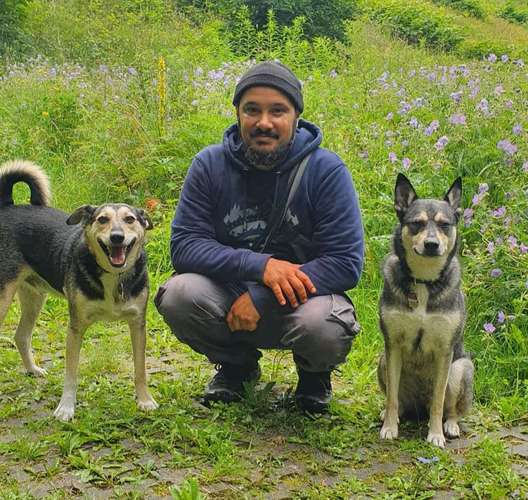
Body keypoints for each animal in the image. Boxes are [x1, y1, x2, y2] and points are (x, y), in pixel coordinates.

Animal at [0, 159, 159, 418]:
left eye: (130, 219)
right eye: (102, 219)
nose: (117, 237)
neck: (112, 276)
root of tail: (8, 205)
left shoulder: (137, 325)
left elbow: (140, 369)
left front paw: (144, 400)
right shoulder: (76, 328)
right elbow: (71, 374)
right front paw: (66, 408)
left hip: (34, 297)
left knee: (21, 335)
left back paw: (33, 369)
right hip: (4, 297)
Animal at [380, 174, 474, 448]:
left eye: (444, 225)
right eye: (416, 223)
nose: (431, 245)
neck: (423, 281)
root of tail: (417, 408)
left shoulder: (445, 351)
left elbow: (438, 402)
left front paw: (435, 435)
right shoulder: (392, 345)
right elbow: (392, 398)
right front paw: (389, 428)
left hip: (461, 369)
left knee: (449, 408)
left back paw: (450, 426)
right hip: (382, 361)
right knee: (399, 402)